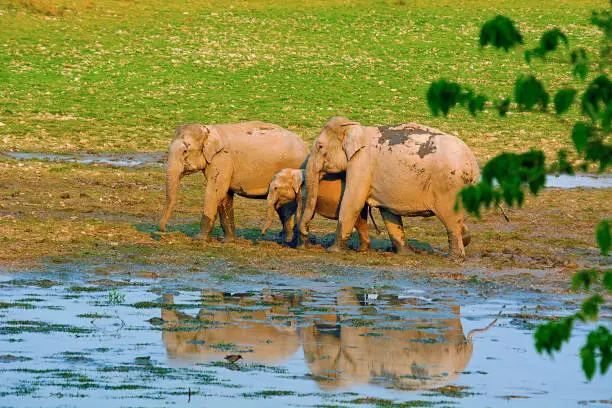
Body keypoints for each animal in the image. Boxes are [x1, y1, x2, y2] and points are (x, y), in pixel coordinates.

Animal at [160, 121, 308, 242]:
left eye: (185, 151)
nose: (162, 230)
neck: (209, 130)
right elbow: (224, 195)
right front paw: (229, 241)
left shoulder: (223, 159)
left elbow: (215, 192)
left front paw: (199, 239)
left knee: (286, 206)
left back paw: (286, 241)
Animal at [298, 116, 480, 260]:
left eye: (320, 147)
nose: (306, 240)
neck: (356, 128)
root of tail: (472, 162)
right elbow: (389, 213)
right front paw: (406, 254)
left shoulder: (361, 163)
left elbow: (352, 203)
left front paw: (333, 251)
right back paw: (466, 237)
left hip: (449, 185)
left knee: (450, 220)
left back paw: (455, 258)